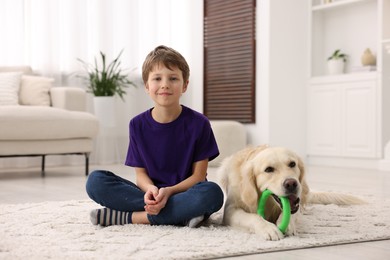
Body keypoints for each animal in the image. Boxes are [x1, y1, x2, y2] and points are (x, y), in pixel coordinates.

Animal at [218, 144, 364, 240]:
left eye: (292, 164)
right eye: (268, 169)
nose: (291, 184)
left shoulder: (296, 205)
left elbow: (292, 213)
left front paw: (286, 224)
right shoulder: (230, 209)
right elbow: (252, 217)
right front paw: (268, 228)